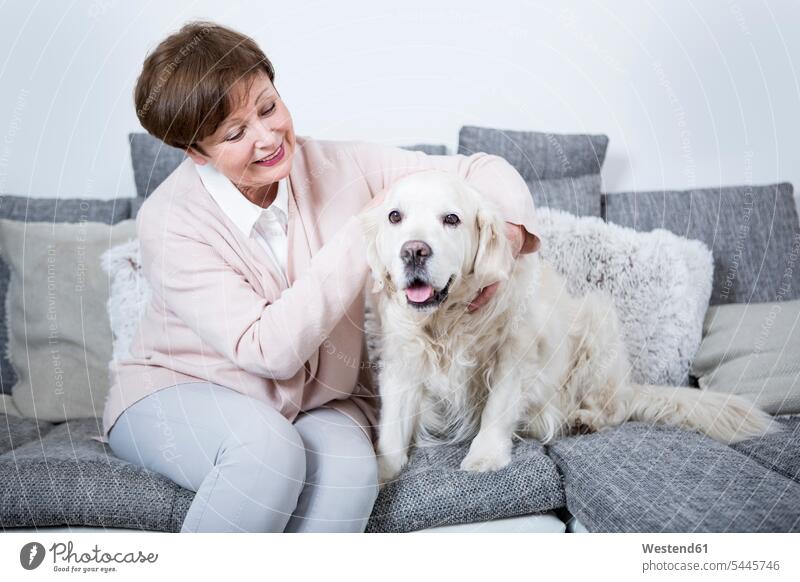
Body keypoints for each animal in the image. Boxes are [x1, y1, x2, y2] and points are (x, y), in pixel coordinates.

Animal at [358, 170, 780, 484]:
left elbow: (497, 408)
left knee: (614, 407)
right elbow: (393, 427)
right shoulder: (401, 363)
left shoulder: (515, 353)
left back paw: (583, 419)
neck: (447, 321)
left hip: (597, 320)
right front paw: (381, 471)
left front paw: (486, 456)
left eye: (451, 219)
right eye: (395, 216)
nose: (414, 251)